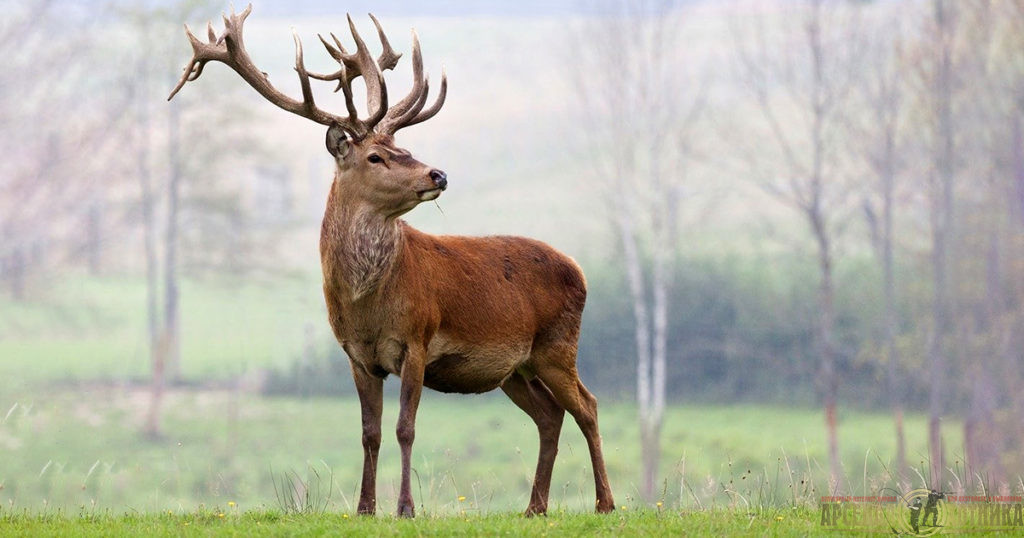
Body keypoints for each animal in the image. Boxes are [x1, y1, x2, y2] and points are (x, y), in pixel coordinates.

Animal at [169, 5, 614, 518]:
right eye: (377, 156)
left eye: (406, 148)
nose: (438, 173)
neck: (368, 304)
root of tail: (579, 270)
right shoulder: (357, 356)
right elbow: (370, 433)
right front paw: (365, 506)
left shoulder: (417, 340)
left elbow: (405, 429)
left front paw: (404, 507)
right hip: (514, 368)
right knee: (550, 414)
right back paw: (534, 507)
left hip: (558, 344)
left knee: (588, 405)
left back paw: (604, 502)